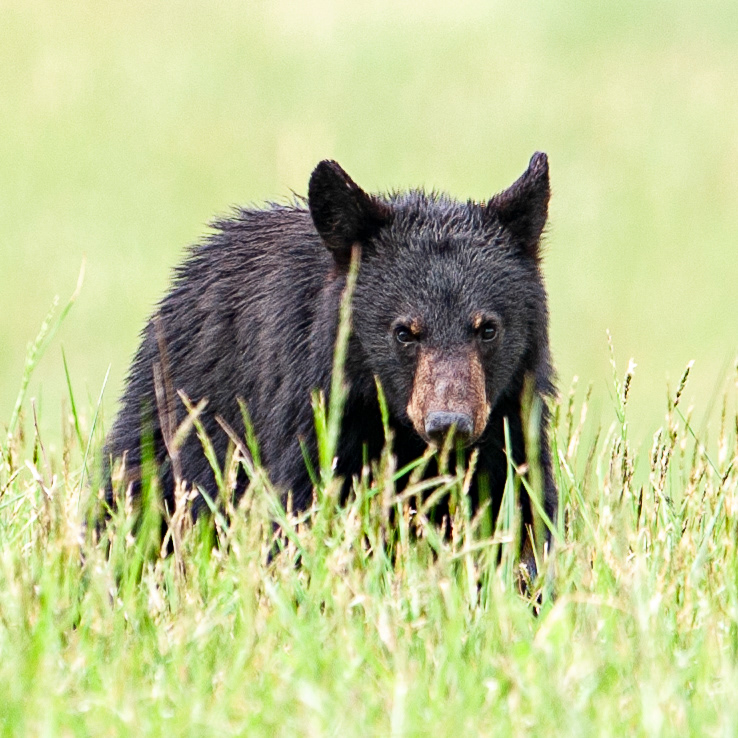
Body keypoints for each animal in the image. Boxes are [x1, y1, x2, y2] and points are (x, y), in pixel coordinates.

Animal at [105, 152, 557, 567]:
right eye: (404, 331)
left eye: (487, 328)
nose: (450, 424)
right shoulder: (315, 416)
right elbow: (300, 513)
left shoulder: (509, 417)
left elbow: (522, 510)